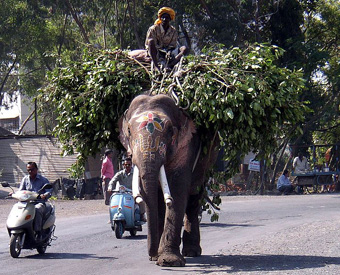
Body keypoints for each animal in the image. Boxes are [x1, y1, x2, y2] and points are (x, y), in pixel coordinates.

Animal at [119, 95, 219, 268]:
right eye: (129, 131)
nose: (151, 254)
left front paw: (169, 261)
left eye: (171, 131)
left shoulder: (186, 147)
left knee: (193, 199)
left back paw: (191, 252)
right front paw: (157, 258)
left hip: (206, 165)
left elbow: (177, 192)